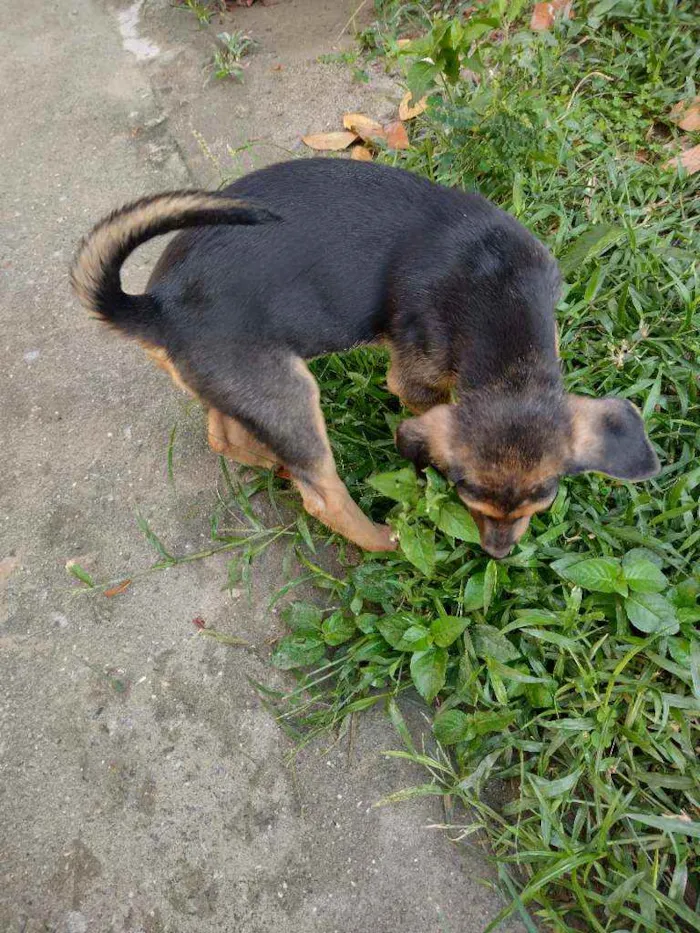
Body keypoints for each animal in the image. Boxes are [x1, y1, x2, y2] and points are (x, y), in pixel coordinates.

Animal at [68, 157, 660, 556]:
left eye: (542, 505)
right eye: (467, 499)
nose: (497, 553)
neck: (498, 294)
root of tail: (156, 306)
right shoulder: (416, 379)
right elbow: (424, 410)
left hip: (239, 383)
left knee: (225, 433)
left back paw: (271, 462)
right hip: (289, 392)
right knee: (321, 494)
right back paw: (380, 537)